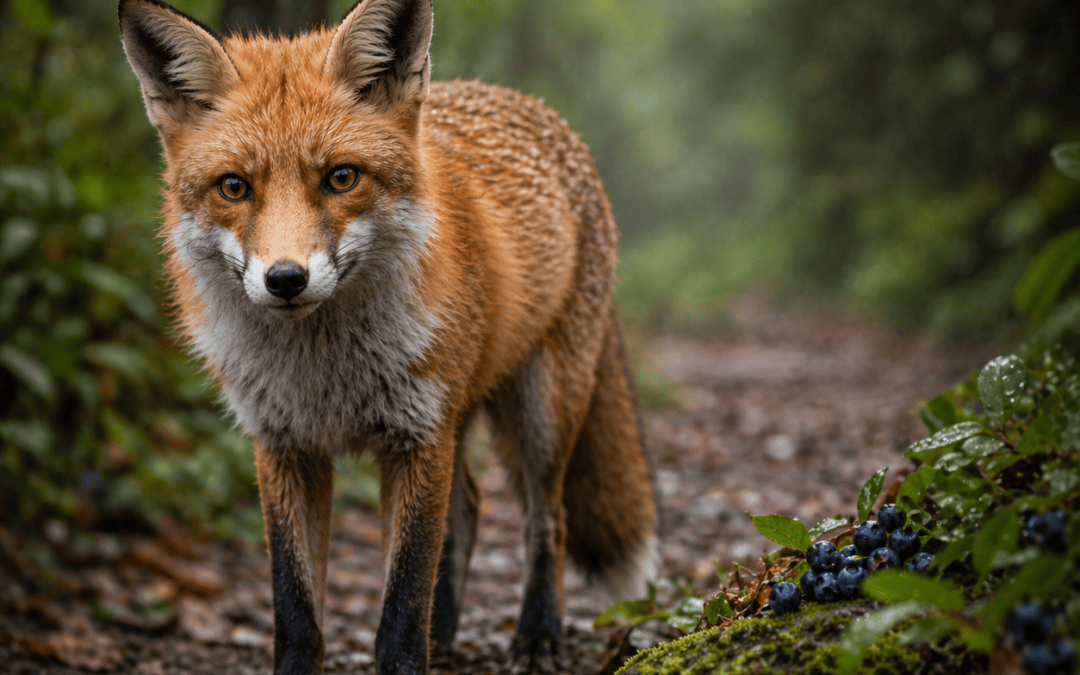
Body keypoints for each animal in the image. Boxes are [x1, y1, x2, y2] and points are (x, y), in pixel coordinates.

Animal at [118, 0, 658, 673]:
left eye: (341, 178)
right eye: (234, 187)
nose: (286, 279)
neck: (325, 373)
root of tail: (528, 103)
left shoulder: (416, 437)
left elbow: (401, 605)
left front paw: (414, 650)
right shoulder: (284, 447)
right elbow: (295, 605)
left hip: (540, 409)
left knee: (545, 518)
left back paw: (537, 634)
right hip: (463, 414)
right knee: (468, 510)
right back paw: (446, 631)